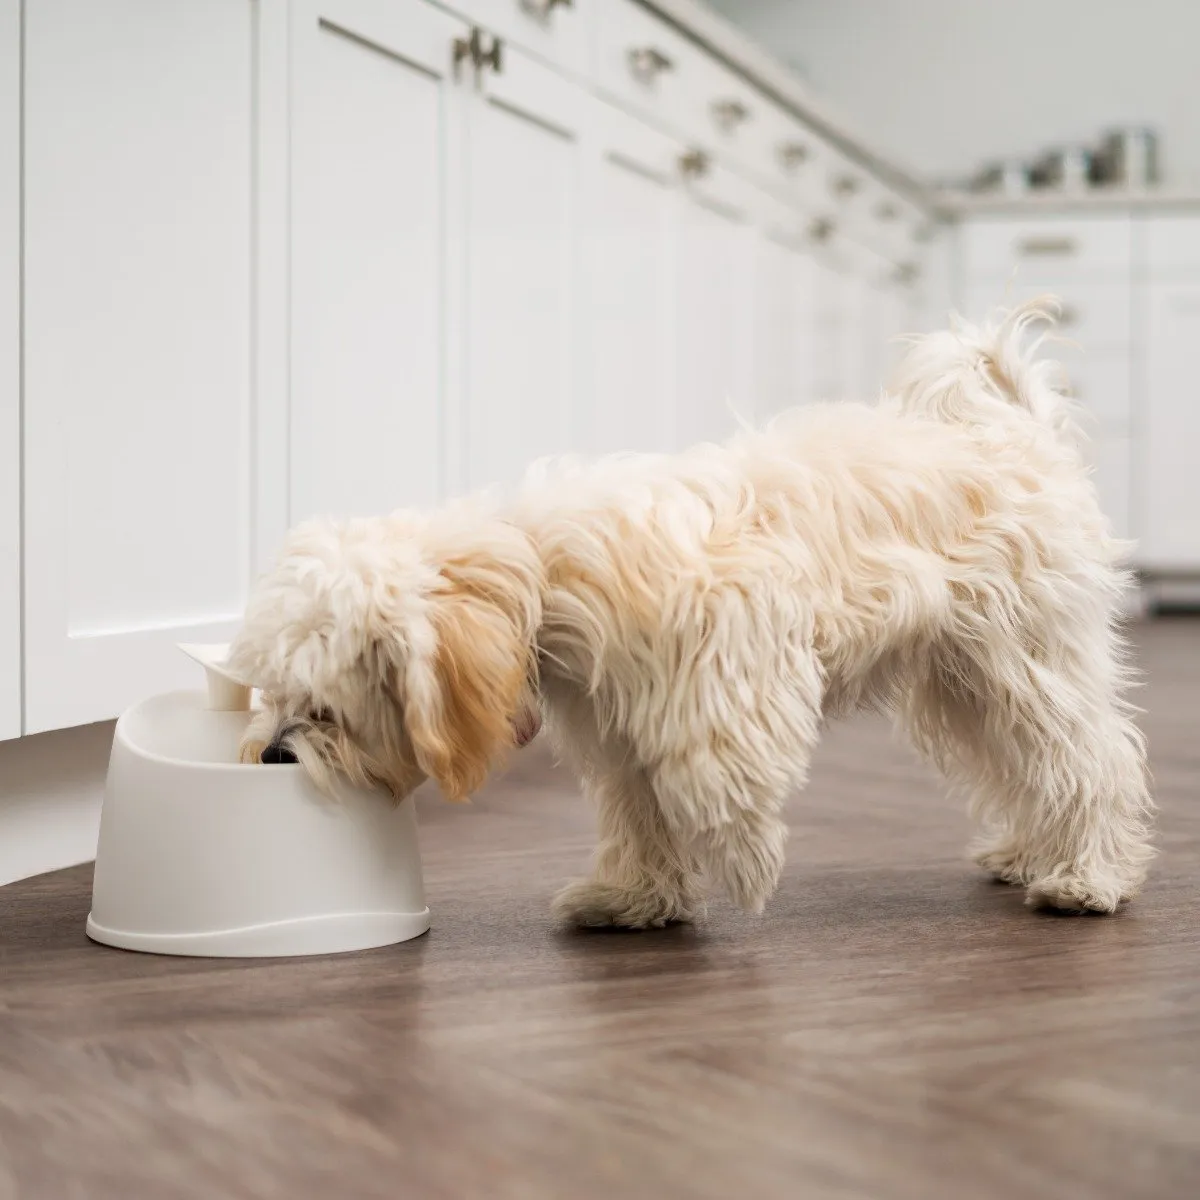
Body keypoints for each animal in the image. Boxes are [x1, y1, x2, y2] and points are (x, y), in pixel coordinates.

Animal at [226, 304, 1152, 921]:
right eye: (269, 693)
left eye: (325, 706)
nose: (269, 754)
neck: (539, 564)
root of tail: (1023, 434)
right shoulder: (618, 725)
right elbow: (639, 807)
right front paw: (631, 897)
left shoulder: (729, 659)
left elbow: (708, 776)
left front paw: (744, 861)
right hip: (963, 681)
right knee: (1030, 768)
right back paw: (1030, 854)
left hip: (1022, 659)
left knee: (1092, 759)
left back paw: (1087, 877)